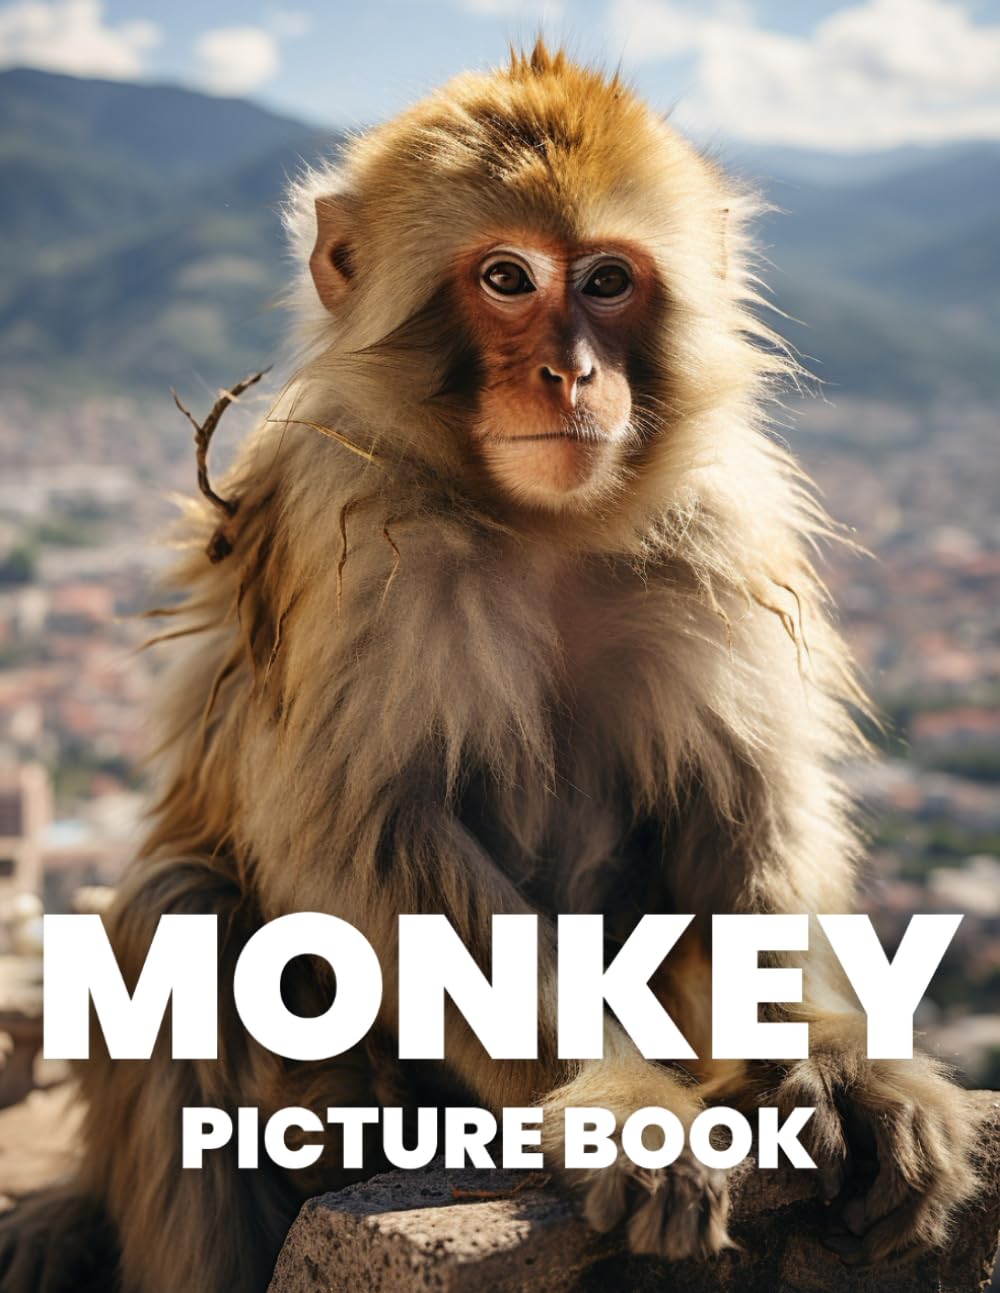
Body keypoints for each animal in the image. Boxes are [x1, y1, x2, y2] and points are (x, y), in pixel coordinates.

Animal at [0, 41, 979, 1293]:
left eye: (606, 280)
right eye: (506, 278)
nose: (570, 375)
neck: (540, 525)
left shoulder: (711, 540)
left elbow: (740, 807)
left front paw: (838, 1055)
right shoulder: (355, 539)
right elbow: (361, 836)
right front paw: (620, 1100)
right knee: (173, 911)